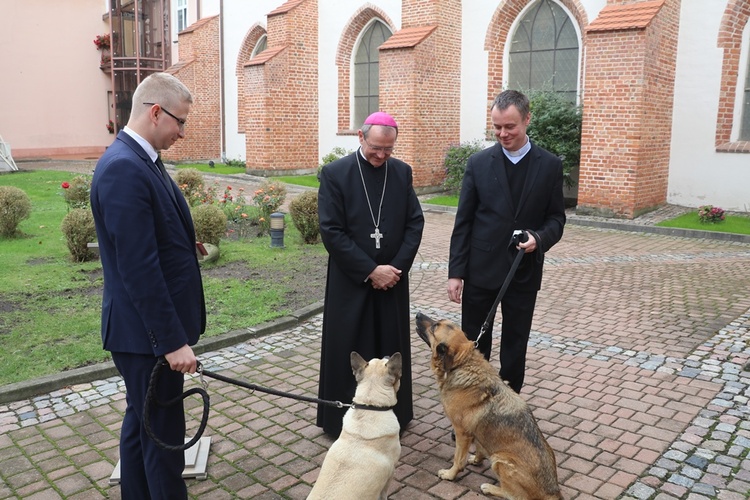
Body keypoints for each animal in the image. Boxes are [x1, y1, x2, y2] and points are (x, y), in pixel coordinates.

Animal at [418, 312, 564, 500]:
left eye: (435, 326)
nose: (418, 313)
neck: (463, 364)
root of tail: (553, 492)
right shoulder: (476, 433)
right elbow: (479, 449)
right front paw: (476, 460)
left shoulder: (462, 433)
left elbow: (458, 459)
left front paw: (450, 475)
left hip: (500, 461)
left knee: (513, 495)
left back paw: (489, 487)